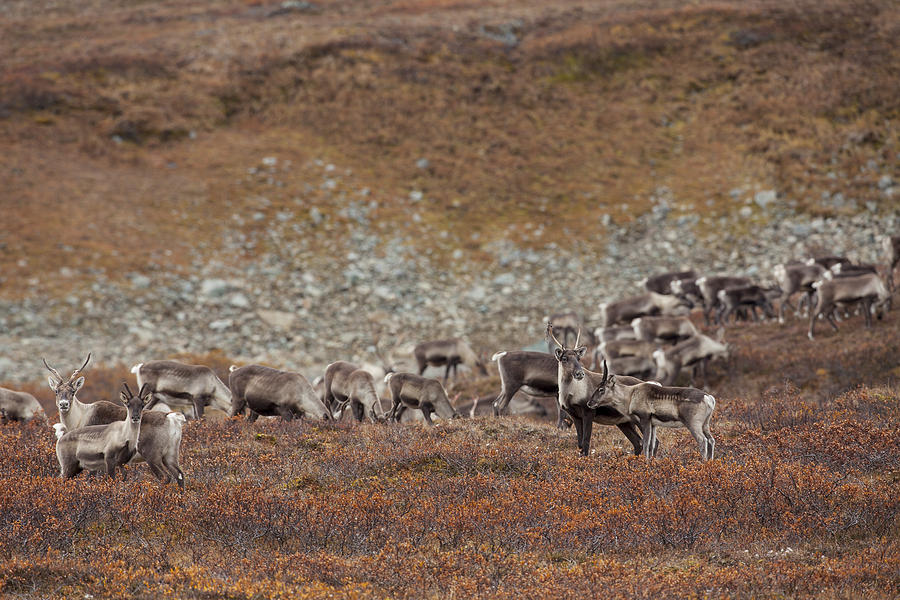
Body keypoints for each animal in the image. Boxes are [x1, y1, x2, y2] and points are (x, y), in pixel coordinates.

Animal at [584, 366, 716, 460]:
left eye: (601, 389)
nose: (589, 403)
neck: (630, 395)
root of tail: (709, 398)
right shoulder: (653, 424)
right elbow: (652, 444)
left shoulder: (645, 419)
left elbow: (646, 443)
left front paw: (646, 463)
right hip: (705, 424)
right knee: (711, 440)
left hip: (693, 424)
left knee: (702, 440)